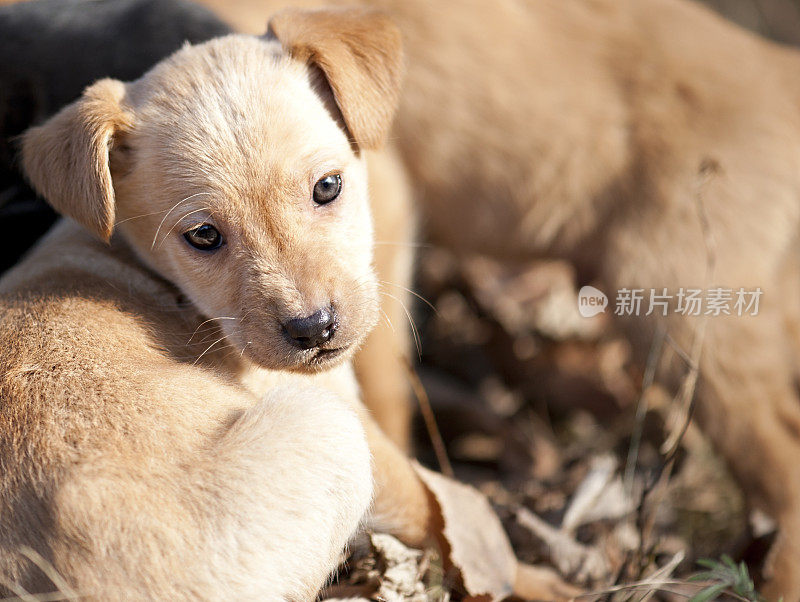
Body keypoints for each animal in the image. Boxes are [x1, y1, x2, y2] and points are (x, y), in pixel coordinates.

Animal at [202, 0, 800, 596]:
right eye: (204, 236)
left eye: (326, 187)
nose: (313, 329)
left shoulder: (387, 206)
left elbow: (384, 400)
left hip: (677, 303)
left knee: (785, 465)